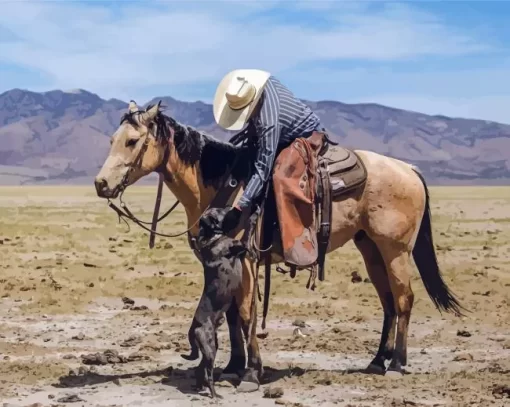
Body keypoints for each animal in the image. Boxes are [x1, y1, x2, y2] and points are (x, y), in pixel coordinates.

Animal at [180, 207, 256, 398]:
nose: (237, 208)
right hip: (210, 347)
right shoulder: (241, 245)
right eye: (221, 211)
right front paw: (254, 216)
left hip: (210, 346)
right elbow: (249, 232)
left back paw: (200, 387)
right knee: (207, 372)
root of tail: (194, 327)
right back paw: (214, 393)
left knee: (200, 369)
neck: (212, 237)